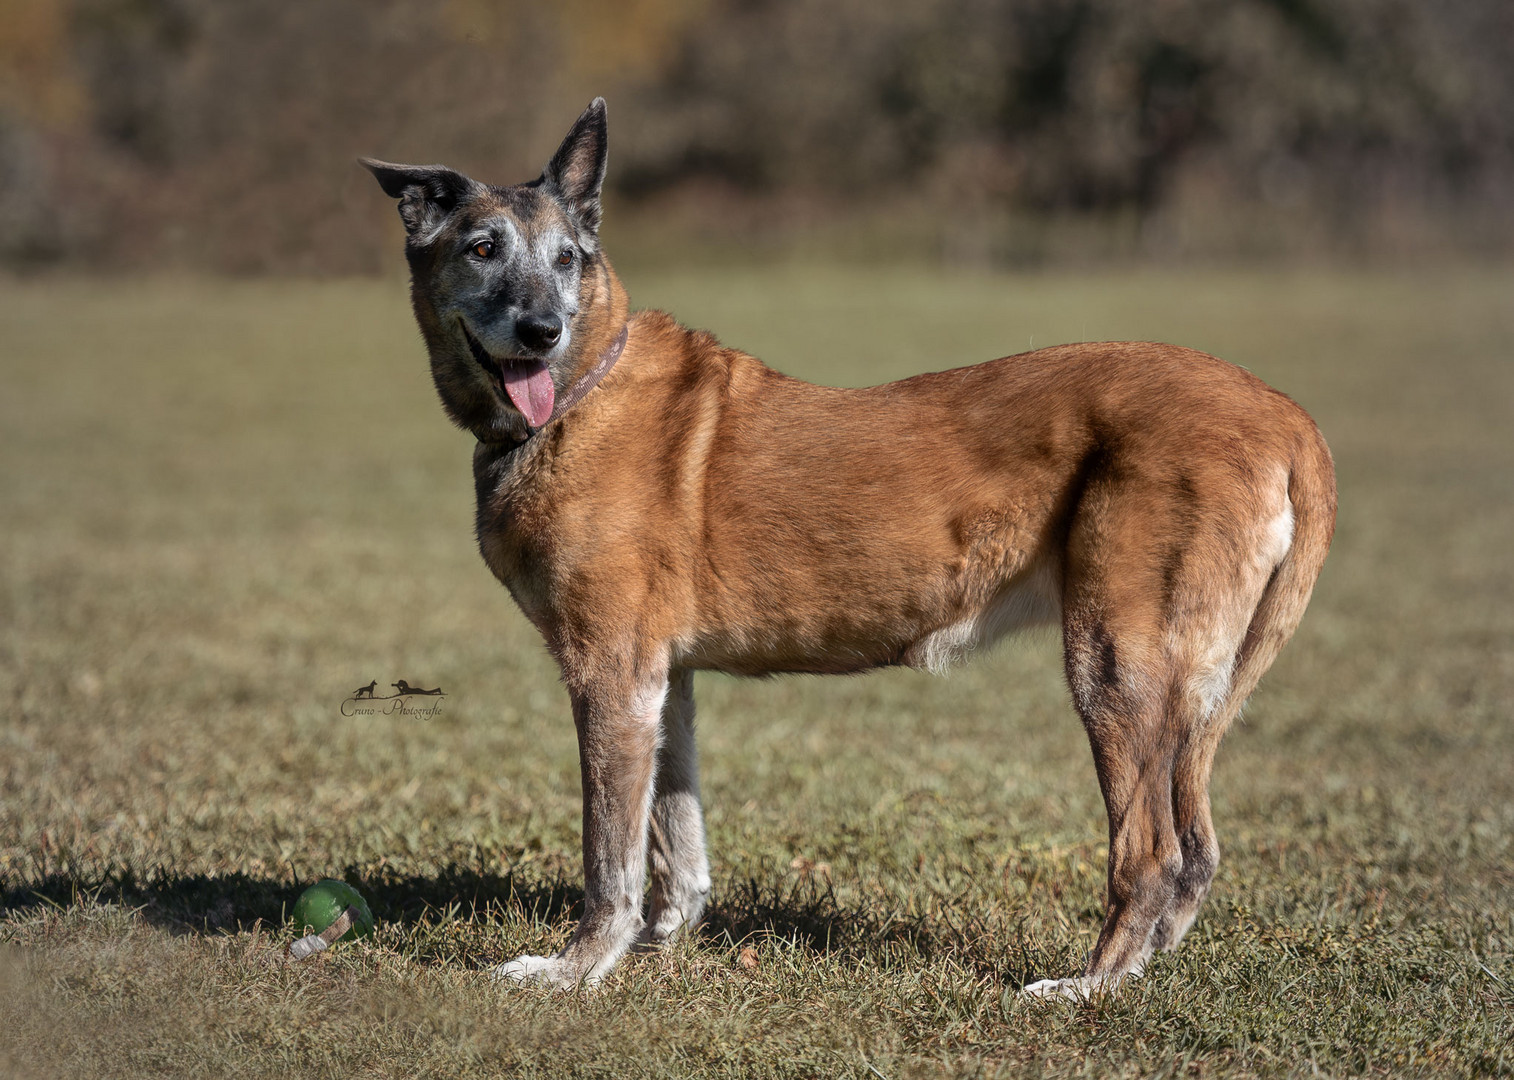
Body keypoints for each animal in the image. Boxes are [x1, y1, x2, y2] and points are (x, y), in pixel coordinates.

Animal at [360, 99, 1332, 993]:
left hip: (1115, 669)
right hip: (1189, 696)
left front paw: (575, 970)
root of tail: (1287, 416)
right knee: (1197, 849)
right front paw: (654, 950)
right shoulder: (662, 685)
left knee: (1153, 854)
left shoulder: (610, 676)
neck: (578, 394)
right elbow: (677, 845)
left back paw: (1086, 986)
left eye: (567, 260)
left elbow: (611, 858)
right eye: (482, 248)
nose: (540, 331)